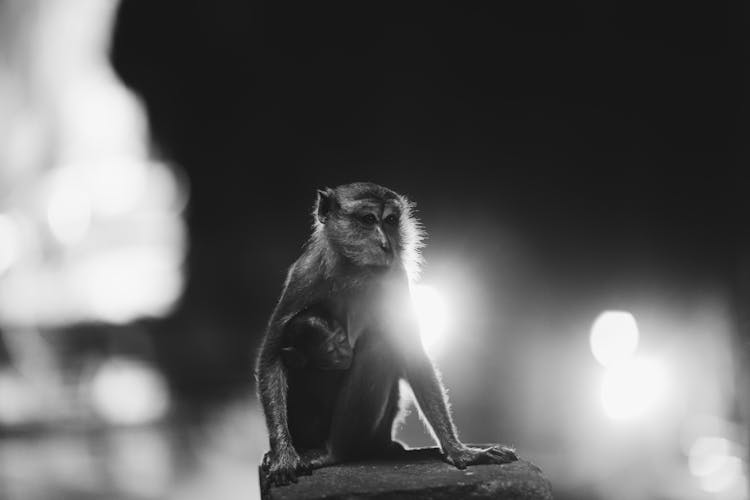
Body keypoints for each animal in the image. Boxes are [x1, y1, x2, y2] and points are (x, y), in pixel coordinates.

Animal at [256, 183, 520, 488]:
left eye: (391, 221)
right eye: (368, 219)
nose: (386, 244)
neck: (354, 270)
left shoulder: (395, 278)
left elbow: (412, 355)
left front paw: (458, 450)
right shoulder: (305, 276)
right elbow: (271, 357)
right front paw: (283, 456)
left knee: (380, 347)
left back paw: (345, 451)